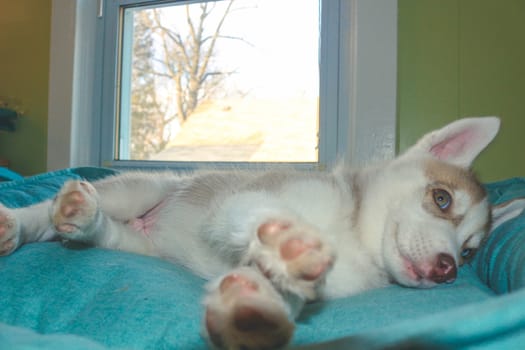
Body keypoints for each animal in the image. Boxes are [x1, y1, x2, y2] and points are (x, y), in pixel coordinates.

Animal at [0, 117, 500, 348]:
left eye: (470, 253)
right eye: (442, 199)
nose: (448, 270)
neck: (355, 238)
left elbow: (285, 290)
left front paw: (254, 303)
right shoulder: (237, 203)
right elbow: (261, 214)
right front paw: (285, 241)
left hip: (140, 246)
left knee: (102, 236)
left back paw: (88, 224)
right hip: (139, 190)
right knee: (53, 212)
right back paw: (34, 218)